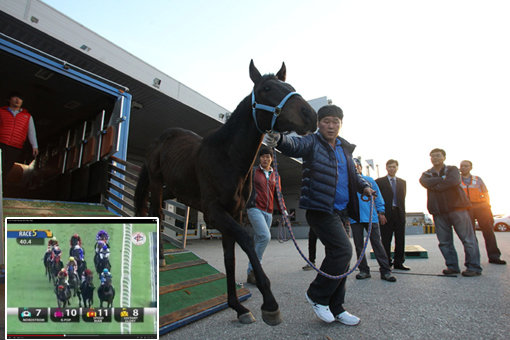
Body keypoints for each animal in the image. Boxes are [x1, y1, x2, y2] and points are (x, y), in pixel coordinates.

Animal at [137, 60, 316, 324]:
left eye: (290, 86)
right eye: (266, 88)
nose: (310, 115)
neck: (227, 157)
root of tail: (160, 138)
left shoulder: (234, 213)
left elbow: (229, 259)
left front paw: (238, 307)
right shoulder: (214, 213)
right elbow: (247, 241)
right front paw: (269, 303)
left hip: (174, 188)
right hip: (157, 183)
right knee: (156, 212)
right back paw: (159, 257)